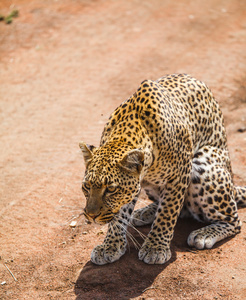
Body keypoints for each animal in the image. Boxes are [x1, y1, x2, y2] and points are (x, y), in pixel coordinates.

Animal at [79, 73, 246, 264]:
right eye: (86, 186)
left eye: (111, 189)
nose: (91, 215)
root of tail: (233, 185)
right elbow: (121, 213)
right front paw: (111, 245)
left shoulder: (181, 173)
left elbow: (168, 211)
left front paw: (155, 248)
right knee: (180, 208)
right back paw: (144, 213)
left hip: (203, 165)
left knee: (234, 221)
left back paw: (203, 234)